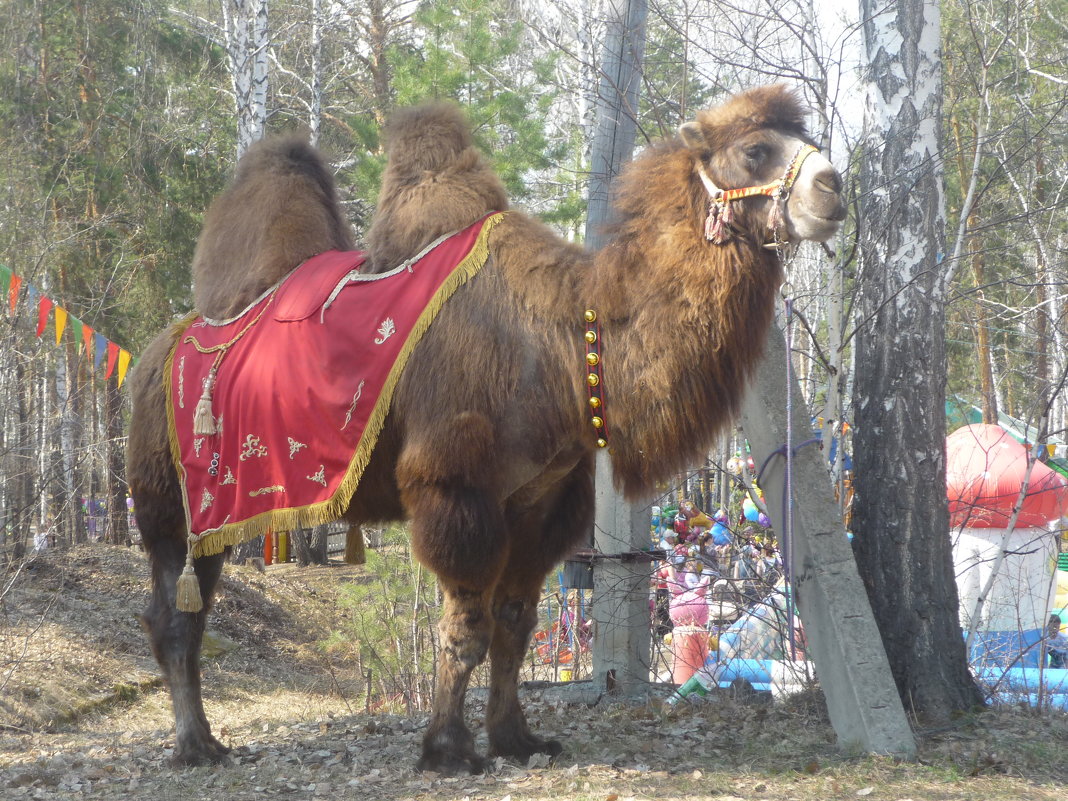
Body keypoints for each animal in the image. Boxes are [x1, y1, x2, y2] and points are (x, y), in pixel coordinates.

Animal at [124, 84, 841, 773]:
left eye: (802, 137)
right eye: (754, 150)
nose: (833, 186)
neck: (564, 338)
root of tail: (159, 350)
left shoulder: (541, 500)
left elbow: (513, 627)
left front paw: (515, 737)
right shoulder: (455, 486)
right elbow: (466, 629)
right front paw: (447, 748)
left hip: (213, 514)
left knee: (187, 609)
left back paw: (205, 740)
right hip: (169, 503)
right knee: (171, 614)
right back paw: (193, 744)